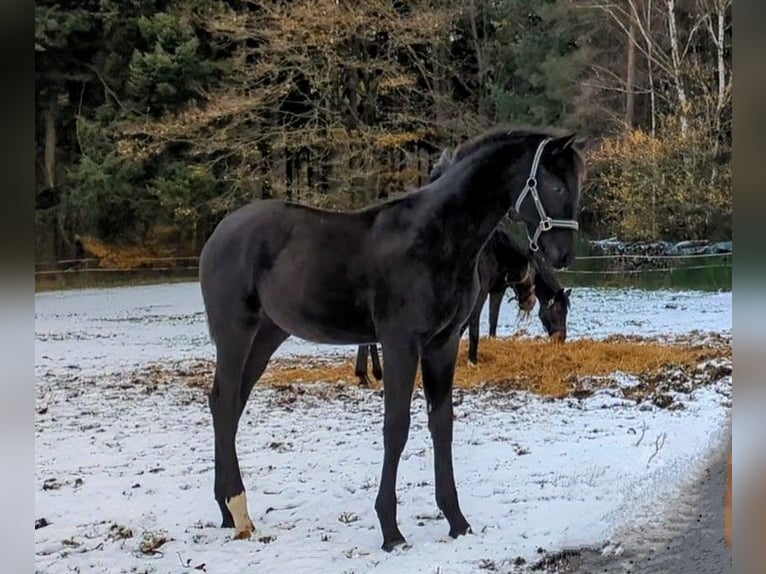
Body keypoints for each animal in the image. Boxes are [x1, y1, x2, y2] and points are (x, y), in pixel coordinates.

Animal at [200, 128, 588, 552]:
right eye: (554, 184)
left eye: (577, 184)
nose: (563, 254)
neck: (435, 238)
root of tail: (219, 232)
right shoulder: (401, 344)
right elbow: (396, 428)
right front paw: (391, 531)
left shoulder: (442, 345)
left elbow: (442, 424)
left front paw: (456, 520)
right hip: (236, 331)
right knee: (225, 402)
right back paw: (239, 510)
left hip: (268, 335)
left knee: (229, 404)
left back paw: (225, 509)